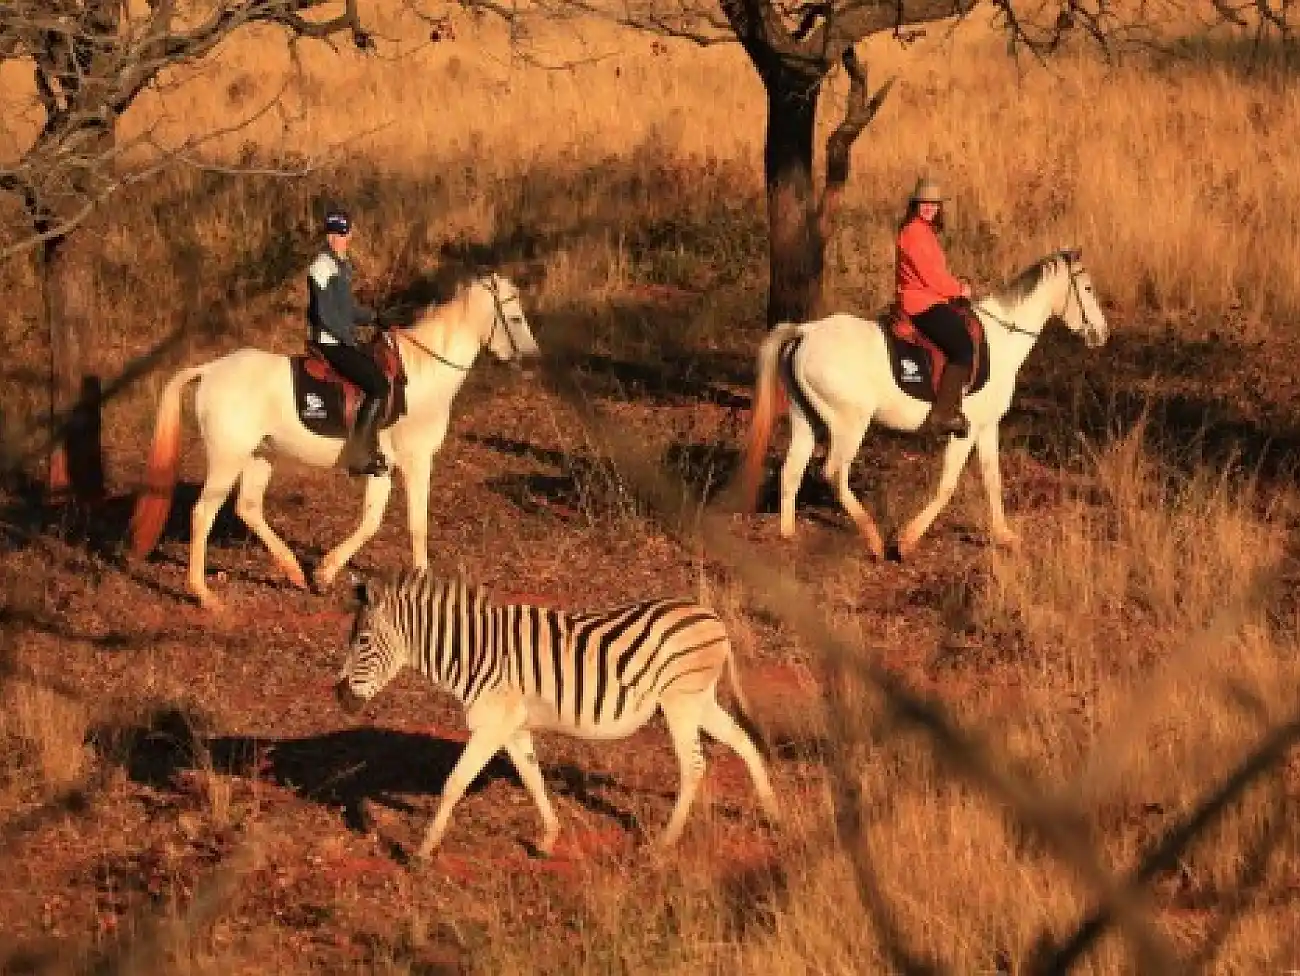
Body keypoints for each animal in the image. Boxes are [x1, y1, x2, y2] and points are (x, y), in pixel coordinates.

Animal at [127, 271, 541, 612]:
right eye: (515, 318)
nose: (533, 357)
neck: (422, 378)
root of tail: (211, 369)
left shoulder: (383, 468)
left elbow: (371, 520)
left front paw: (324, 573)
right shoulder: (416, 460)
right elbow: (416, 522)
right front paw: (422, 580)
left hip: (259, 456)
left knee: (248, 508)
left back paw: (293, 571)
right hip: (227, 459)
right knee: (203, 514)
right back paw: (204, 595)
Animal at [738, 247, 1109, 559]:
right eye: (1088, 288)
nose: (1102, 334)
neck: (1003, 338)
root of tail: (804, 332)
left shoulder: (987, 426)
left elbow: (993, 478)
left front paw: (1004, 535)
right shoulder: (965, 430)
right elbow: (947, 486)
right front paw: (907, 541)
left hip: (805, 420)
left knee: (792, 470)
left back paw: (788, 535)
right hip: (849, 424)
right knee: (834, 473)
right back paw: (874, 541)